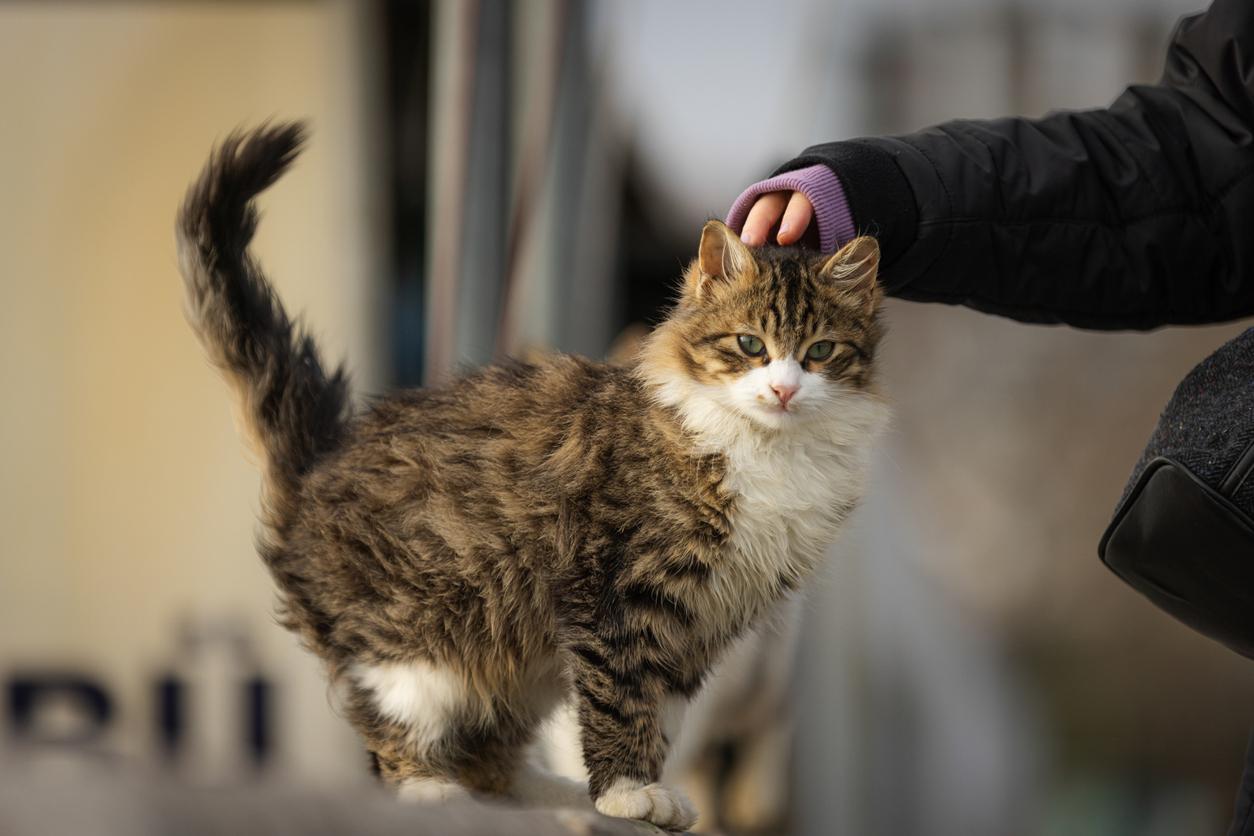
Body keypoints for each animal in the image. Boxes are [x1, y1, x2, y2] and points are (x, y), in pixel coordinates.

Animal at [176, 122, 887, 832]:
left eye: (820, 352)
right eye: (749, 345)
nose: (784, 389)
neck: (769, 449)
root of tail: (323, 456)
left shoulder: (703, 626)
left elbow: (663, 715)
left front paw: (642, 789)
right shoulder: (616, 592)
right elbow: (621, 698)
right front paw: (626, 790)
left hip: (519, 665)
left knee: (493, 764)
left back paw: (554, 796)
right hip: (416, 650)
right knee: (398, 742)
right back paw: (430, 789)